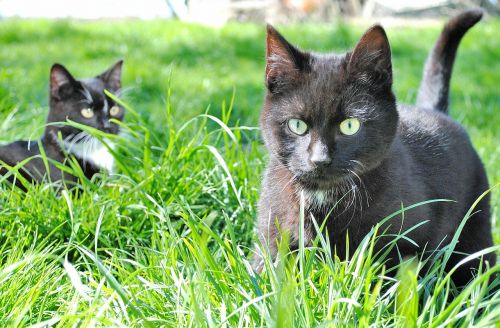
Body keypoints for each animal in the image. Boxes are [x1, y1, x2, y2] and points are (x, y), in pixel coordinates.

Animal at [256, 9, 494, 288]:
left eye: (350, 125)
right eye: (297, 125)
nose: (320, 159)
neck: (323, 198)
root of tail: (436, 110)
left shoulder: (403, 246)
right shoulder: (271, 237)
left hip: (475, 231)